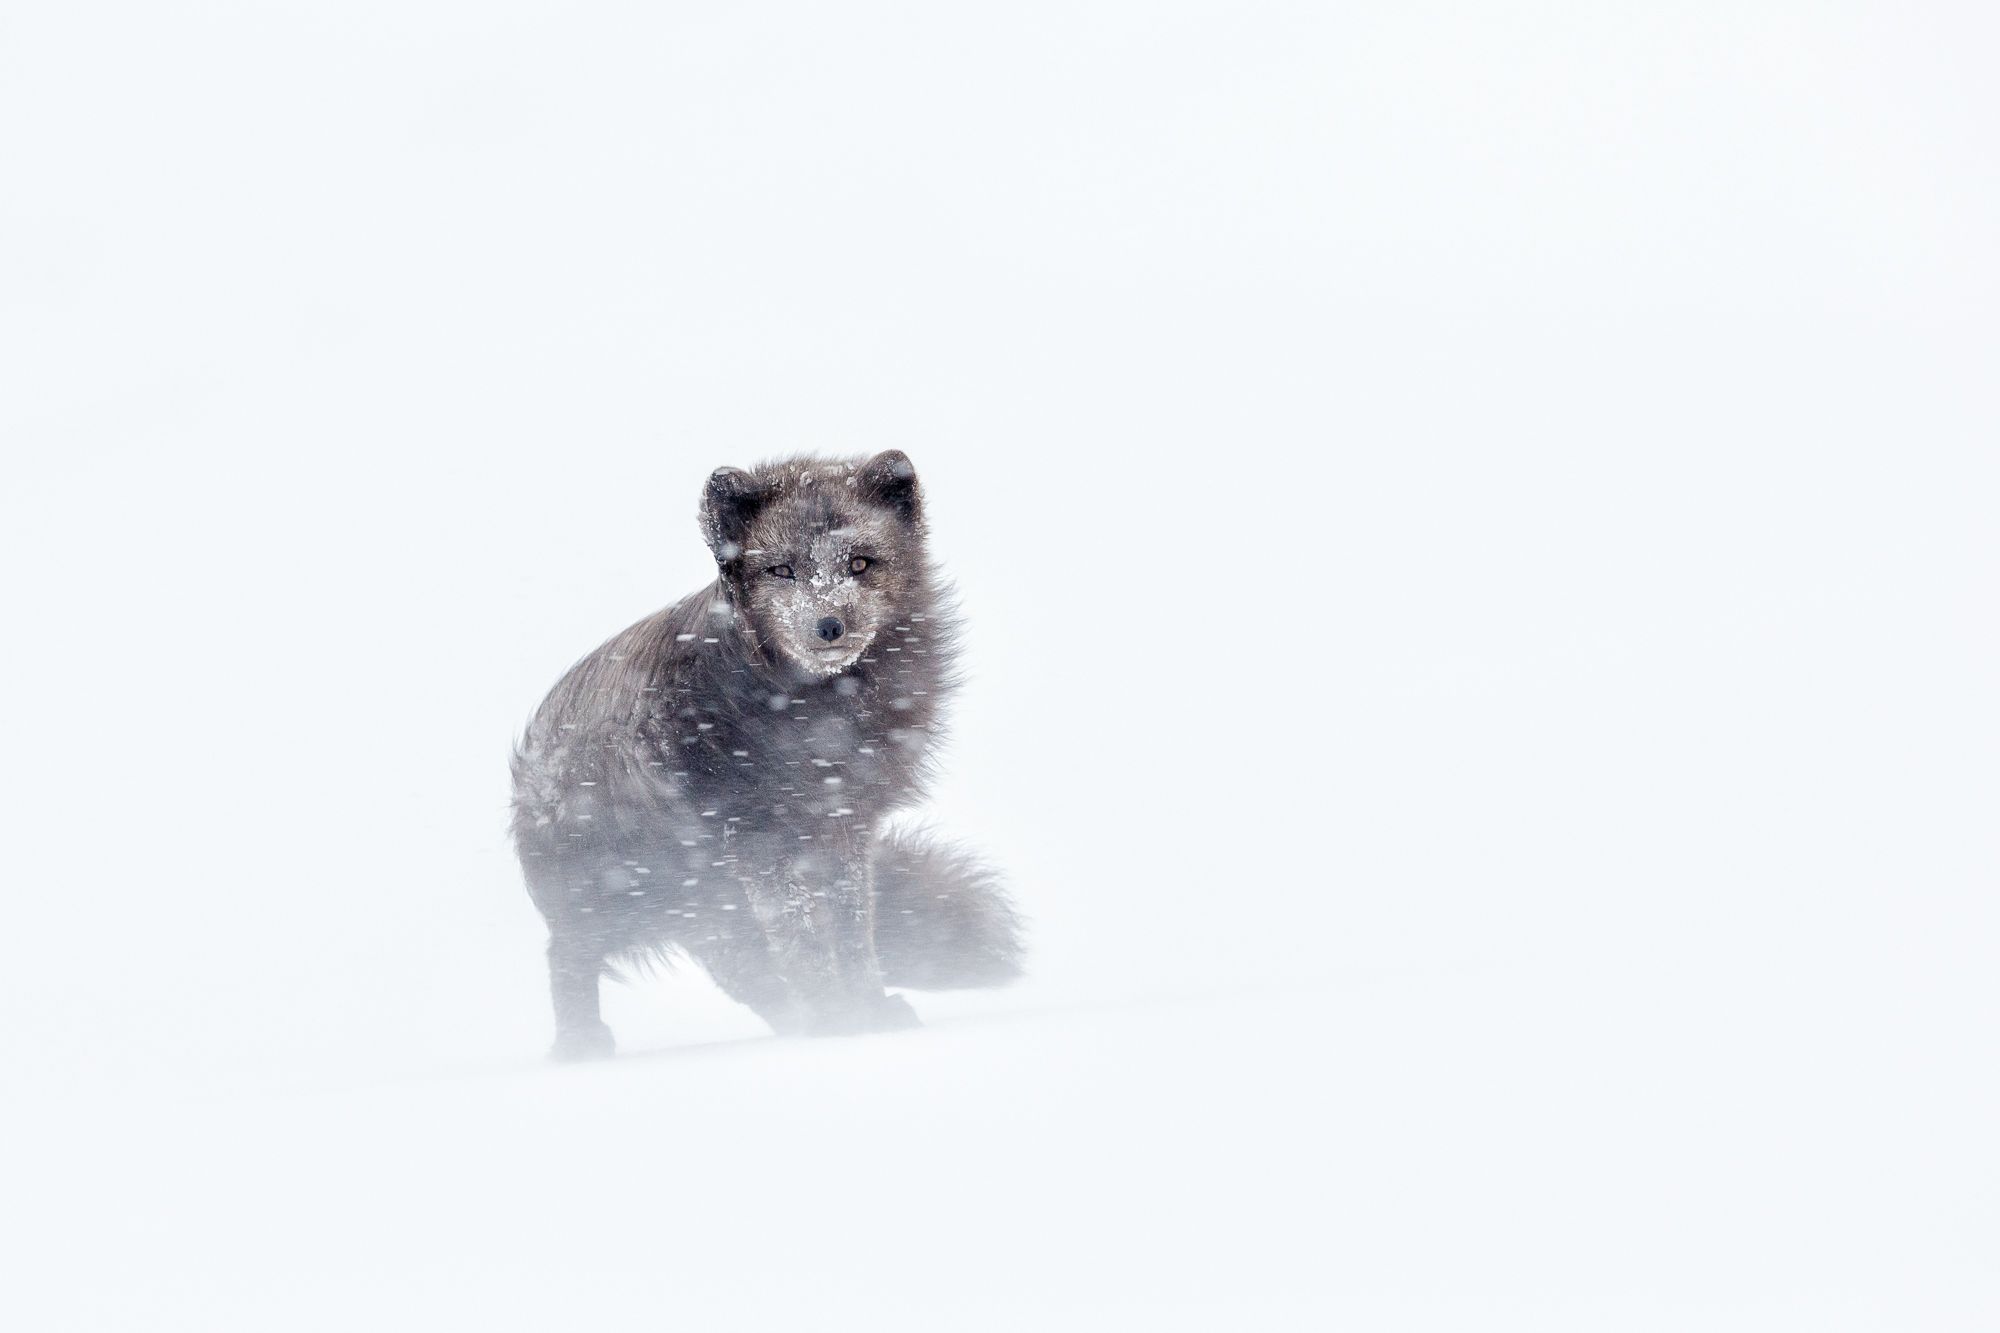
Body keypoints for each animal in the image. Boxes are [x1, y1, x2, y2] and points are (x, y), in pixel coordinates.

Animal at [510, 450, 1023, 1059]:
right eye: (781, 571)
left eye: (860, 563)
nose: (829, 625)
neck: (819, 717)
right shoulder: (759, 839)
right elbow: (804, 936)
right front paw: (838, 1019)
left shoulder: (844, 829)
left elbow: (852, 931)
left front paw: (865, 1011)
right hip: (616, 892)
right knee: (567, 956)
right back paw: (582, 1047)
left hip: (707, 903)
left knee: (743, 971)